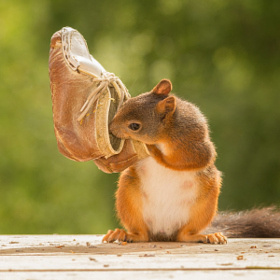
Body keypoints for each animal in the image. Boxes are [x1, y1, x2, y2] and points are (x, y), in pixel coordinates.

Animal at [101, 79, 280, 245]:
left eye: (134, 126)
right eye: (126, 104)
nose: (110, 128)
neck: (167, 132)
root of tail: (164, 232)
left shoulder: (194, 146)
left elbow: (181, 160)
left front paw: (153, 150)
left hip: (204, 206)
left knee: (184, 235)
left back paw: (206, 236)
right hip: (129, 195)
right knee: (143, 235)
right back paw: (124, 234)